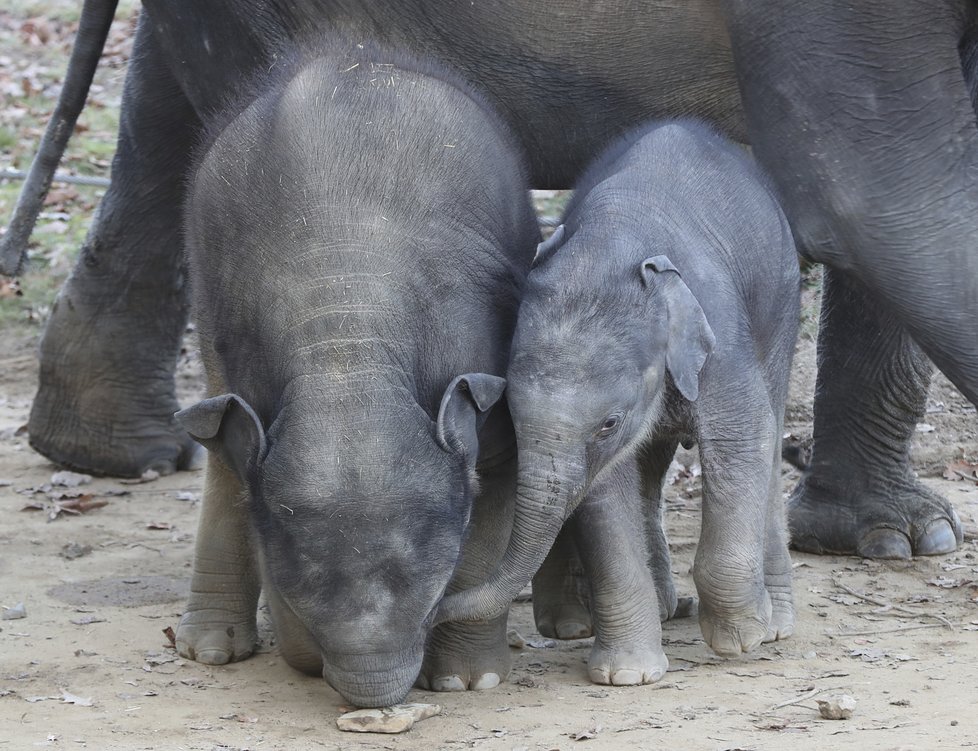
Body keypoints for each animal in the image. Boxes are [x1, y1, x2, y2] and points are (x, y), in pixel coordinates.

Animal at [438, 119, 796, 688]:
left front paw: (741, 638)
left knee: (772, 423)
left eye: (609, 423)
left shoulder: (722, 338)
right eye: (511, 418)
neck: (611, 245)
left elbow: (743, 438)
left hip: (781, 303)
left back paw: (776, 622)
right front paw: (628, 675)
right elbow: (605, 489)